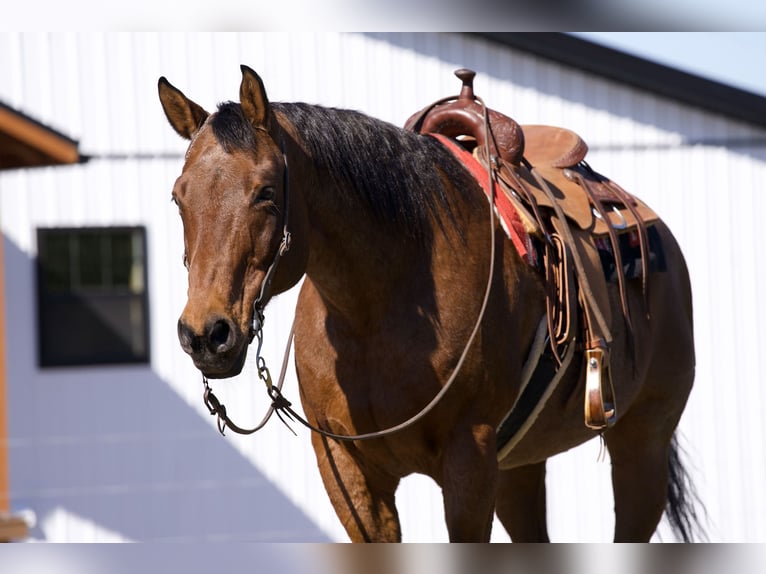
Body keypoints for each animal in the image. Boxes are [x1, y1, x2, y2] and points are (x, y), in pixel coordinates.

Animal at [158, 65, 704, 544]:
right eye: (178, 198)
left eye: (266, 192)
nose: (206, 334)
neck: (374, 311)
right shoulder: (350, 473)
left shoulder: (470, 462)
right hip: (521, 466)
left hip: (641, 444)